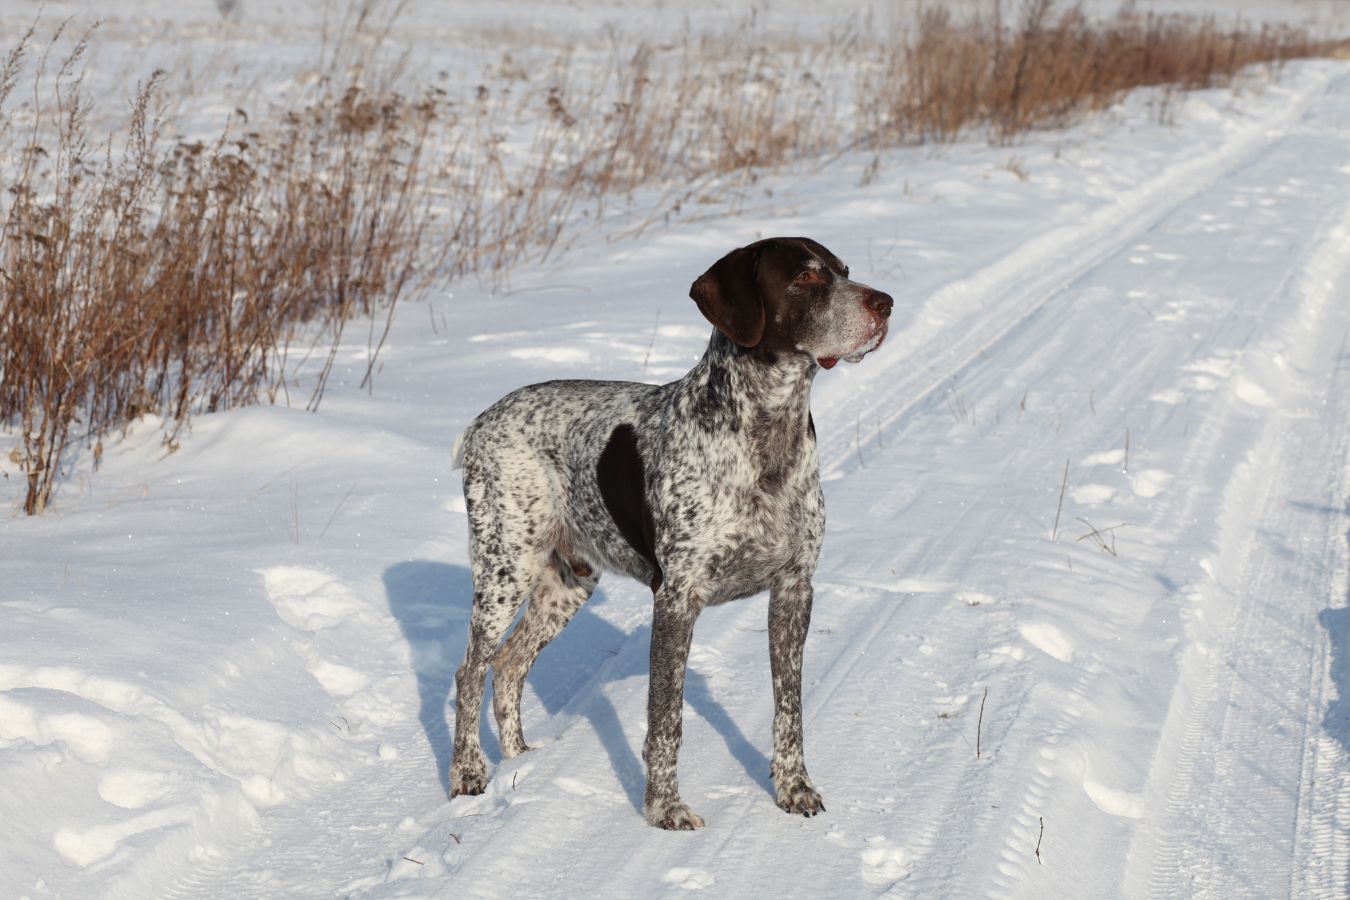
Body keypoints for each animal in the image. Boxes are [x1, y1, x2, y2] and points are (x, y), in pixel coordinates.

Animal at [448, 237, 891, 831]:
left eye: (844, 271)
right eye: (804, 278)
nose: (885, 303)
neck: (768, 436)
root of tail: (479, 423)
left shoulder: (794, 590)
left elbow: (789, 710)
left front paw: (794, 790)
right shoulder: (678, 599)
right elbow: (665, 718)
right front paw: (664, 809)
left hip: (568, 583)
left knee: (509, 663)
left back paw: (520, 762)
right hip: (505, 568)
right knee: (471, 670)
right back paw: (469, 774)